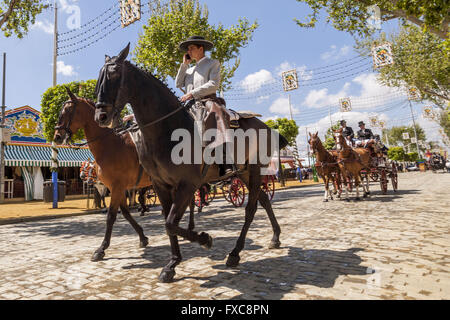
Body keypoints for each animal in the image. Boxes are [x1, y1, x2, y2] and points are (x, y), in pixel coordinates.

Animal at [53, 90, 197, 262]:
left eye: (67, 111)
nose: (57, 136)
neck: (111, 145)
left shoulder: (117, 187)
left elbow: (111, 216)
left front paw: (101, 249)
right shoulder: (118, 188)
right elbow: (126, 213)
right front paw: (142, 237)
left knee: (190, 202)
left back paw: (189, 228)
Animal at [92, 43, 288, 282]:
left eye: (113, 75)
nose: (100, 116)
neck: (167, 130)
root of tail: (264, 125)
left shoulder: (187, 183)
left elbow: (171, 222)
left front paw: (204, 239)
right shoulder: (160, 185)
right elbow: (168, 222)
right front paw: (172, 263)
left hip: (255, 170)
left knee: (251, 209)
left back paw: (235, 253)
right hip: (243, 173)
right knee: (264, 200)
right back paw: (275, 237)